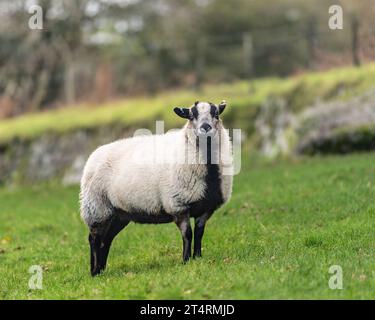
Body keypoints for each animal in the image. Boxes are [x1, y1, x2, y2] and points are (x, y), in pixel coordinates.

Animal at [80, 100, 232, 276]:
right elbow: (188, 234)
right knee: (94, 239)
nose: (206, 127)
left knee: (106, 240)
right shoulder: (178, 205)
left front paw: (198, 257)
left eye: (216, 114)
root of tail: (93, 155)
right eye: (192, 115)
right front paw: (186, 260)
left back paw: (102, 269)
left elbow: (199, 233)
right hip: (97, 209)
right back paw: (94, 271)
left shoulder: (206, 208)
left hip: (118, 214)